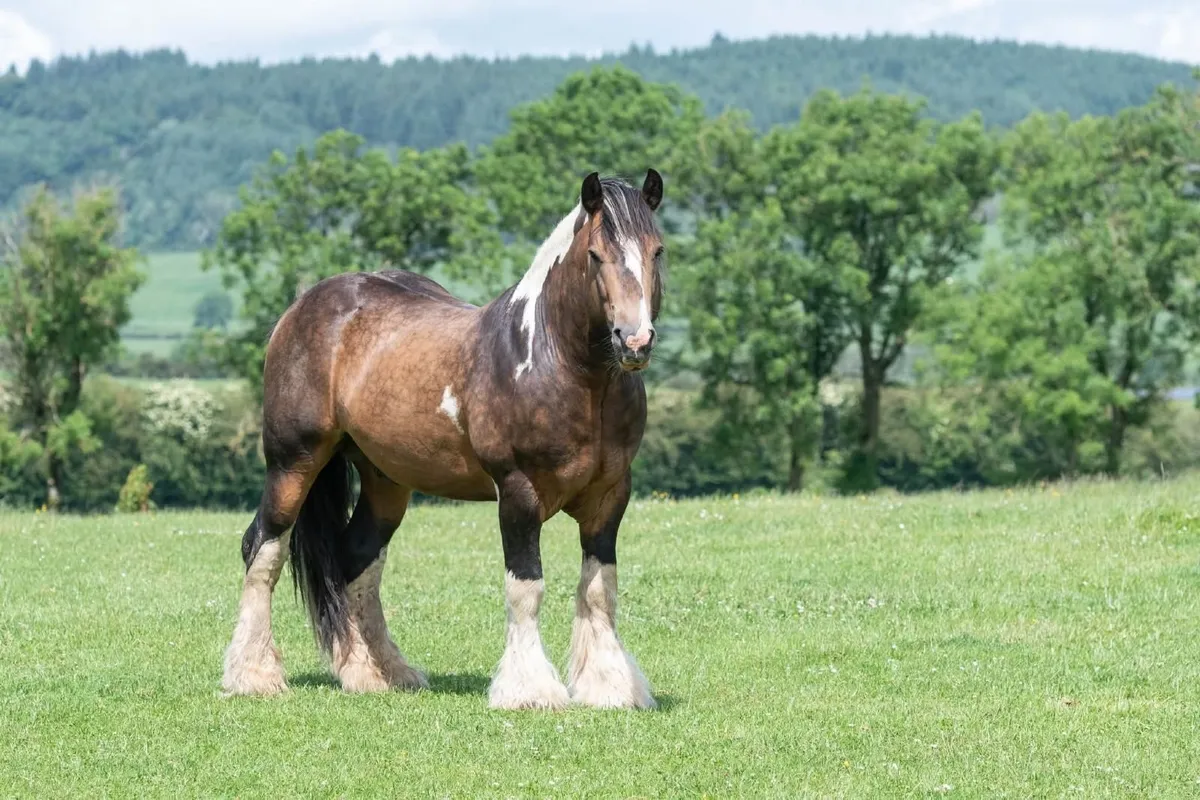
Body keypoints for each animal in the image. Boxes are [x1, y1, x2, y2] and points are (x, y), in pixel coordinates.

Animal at [221, 170, 666, 710]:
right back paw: (253, 675)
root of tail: (301, 307)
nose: (634, 341)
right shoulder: (518, 493)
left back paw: (377, 673)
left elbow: (600, 588)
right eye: (597, 255)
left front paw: (608, 686)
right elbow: (526, 588)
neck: (555, 363)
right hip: (293, 462)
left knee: (356, 562)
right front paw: (529, 690)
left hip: (385, 482)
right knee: (263, 549)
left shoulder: (610, 496)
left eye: (657, 250)